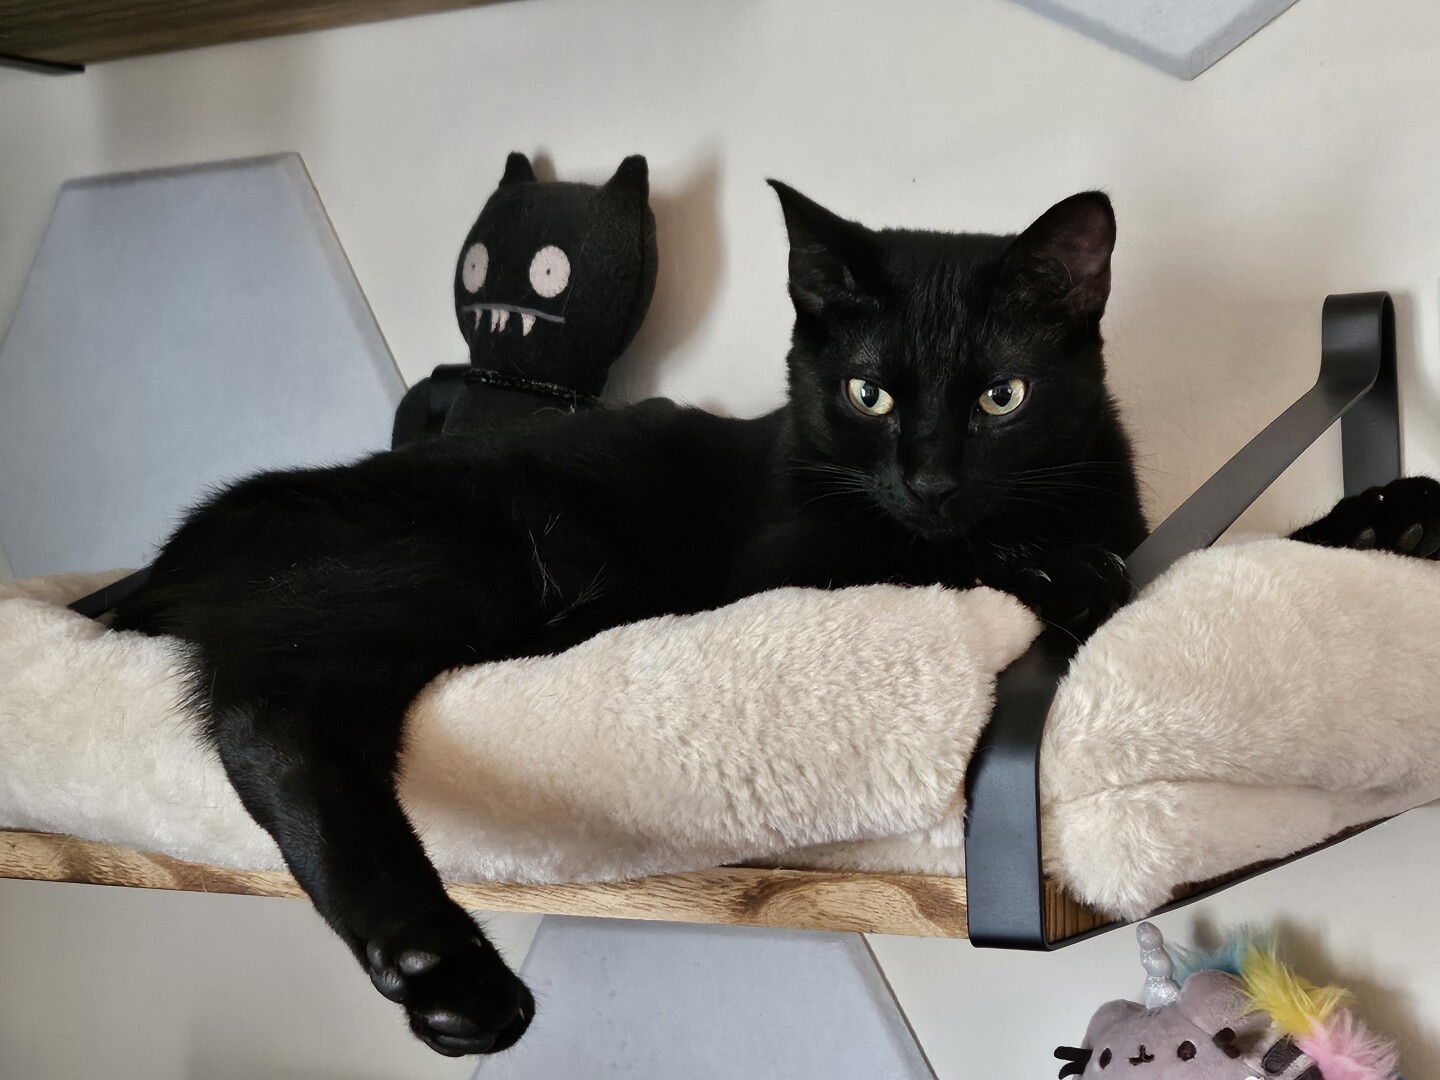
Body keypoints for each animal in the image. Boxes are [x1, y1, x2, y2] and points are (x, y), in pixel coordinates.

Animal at [115, 185, 1440, 1059]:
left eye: (1002, 398)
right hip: (466, 559)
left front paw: (1387, 516)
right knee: (272, 713)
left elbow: (1201, 552)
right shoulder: (812, 568)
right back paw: (443, 974)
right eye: (868, 394)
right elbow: (1063, 572)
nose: (931, 480)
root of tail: (187, 541)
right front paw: (1061, 568)